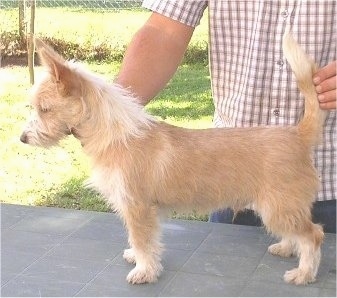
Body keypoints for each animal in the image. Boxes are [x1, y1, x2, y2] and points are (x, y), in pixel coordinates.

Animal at [19, 30, 324, 286]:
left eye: (44, 109)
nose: (22, 138)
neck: (115, 134)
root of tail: (298, 134)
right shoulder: (142, 210)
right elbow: (146, 242)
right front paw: (140, 259)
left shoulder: (137, 208)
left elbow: (143, 240)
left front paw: (144, 271)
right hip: (280, 208)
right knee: (298, 233)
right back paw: (285, 247)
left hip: (278, 207)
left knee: (313, 235)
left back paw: (303, 274)